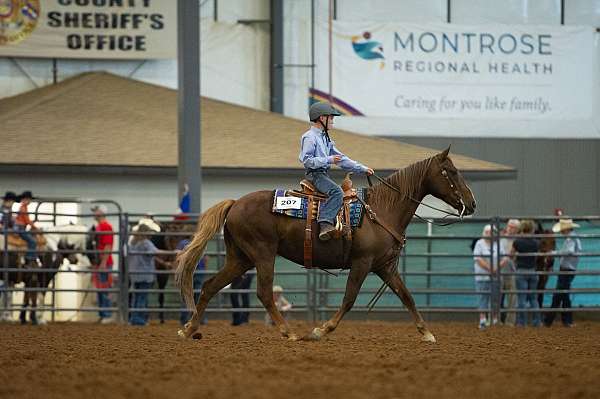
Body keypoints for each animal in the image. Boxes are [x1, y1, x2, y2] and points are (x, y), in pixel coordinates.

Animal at [176, 148, 476, 342]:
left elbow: (407, 296)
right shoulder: (362, 263)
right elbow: (349, 299)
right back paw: (289, 332)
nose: (472, 204)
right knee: (263, 292)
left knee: (210, 285)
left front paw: (427, 333)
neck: (381, 211)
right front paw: (321, 330)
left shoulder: (385, 267)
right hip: (262, 254)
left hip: (240, 258)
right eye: (451, 171)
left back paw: (189, 329)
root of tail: (235, 203)